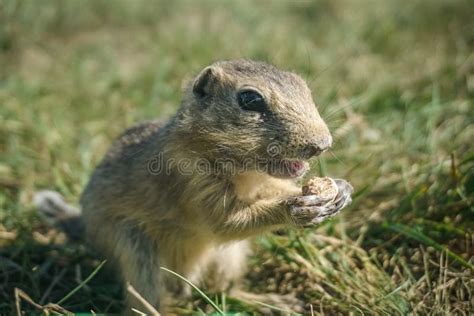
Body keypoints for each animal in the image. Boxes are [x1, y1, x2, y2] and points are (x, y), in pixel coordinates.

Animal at [35, 59, 352, 314]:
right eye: (250, 99)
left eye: (305, 89)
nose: (323, 144)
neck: (244, 171)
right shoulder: (191, 181)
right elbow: (226, 222)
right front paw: (296, 208)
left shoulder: (262, 184)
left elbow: (273, 191)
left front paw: (340, 190)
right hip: (135, 251)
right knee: (144, 303)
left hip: (229, 257)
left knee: (224, 291)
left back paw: (269, 301)